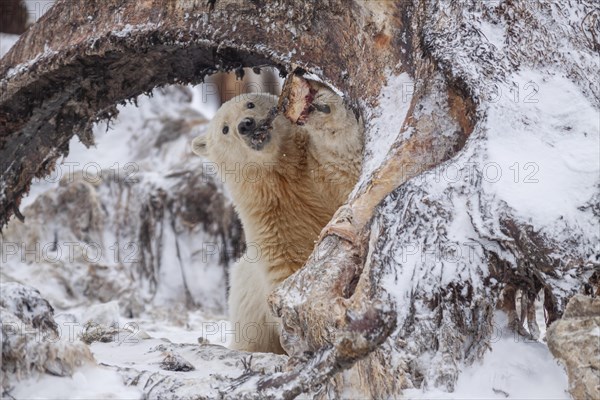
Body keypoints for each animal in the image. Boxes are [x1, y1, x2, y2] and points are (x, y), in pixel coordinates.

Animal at [190, 85, 364, 354]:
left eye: (250, 104)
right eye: (225, 129)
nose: (246, 125)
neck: (279, 174)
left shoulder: (317, 176)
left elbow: (346, 166)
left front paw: (322, 108)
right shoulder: (272, 219)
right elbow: (286, 264)